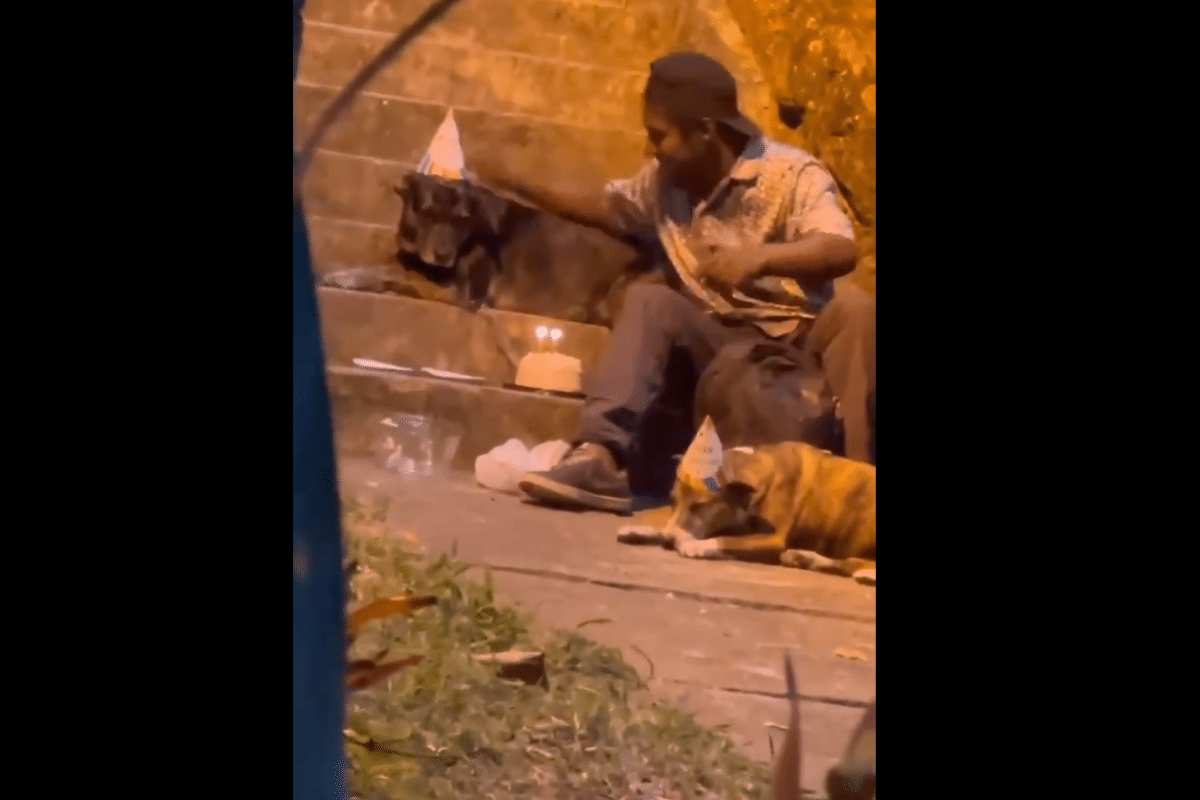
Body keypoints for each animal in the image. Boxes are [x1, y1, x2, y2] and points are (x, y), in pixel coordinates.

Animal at [619, 419, 873, 582]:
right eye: (672, 502)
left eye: (699, 506)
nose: (667, 541)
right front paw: (641, 528)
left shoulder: (773, 538)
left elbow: (725, 540)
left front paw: (696, 545)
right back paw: (804, 557)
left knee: (855, 563)